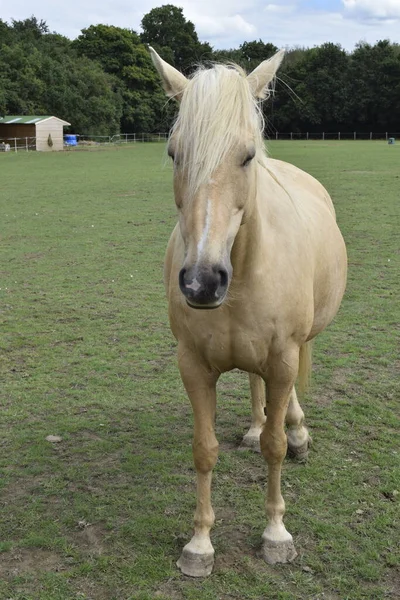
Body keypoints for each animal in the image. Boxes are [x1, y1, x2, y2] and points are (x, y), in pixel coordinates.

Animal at [150, 47, 346, 576]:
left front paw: (276, 535)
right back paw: (257, 425)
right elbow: (204, 450)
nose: (202, 280)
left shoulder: (282, 359)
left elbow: (274, 448)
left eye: (247, 155)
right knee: (255, 389)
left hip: (299, 345)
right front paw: (199, 544)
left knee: (286, 405)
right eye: (174, 153)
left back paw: (297, 432)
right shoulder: (193, 365)